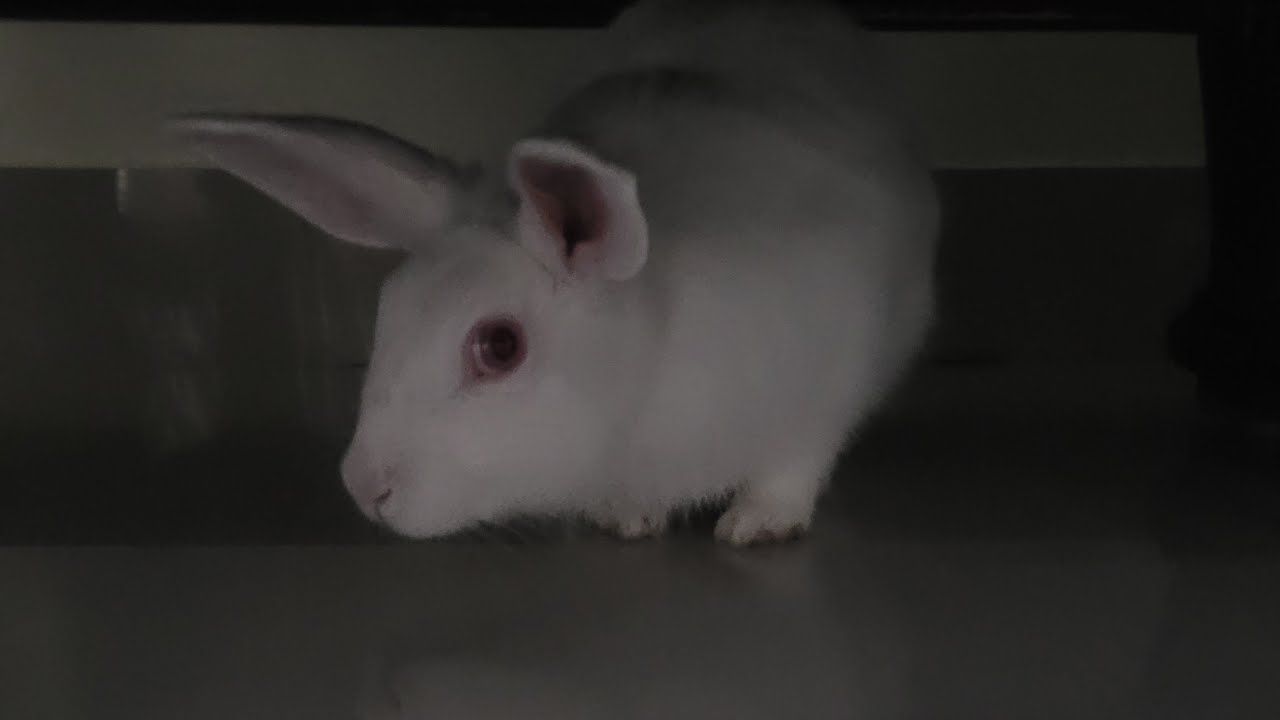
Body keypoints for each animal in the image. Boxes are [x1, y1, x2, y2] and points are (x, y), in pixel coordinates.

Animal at [166, 0, 939, 546]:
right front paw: (626, 519)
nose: (366, 488)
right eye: (388, 310)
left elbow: (795, 462)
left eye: (500, 346)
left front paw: (757, 524)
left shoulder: (829, 382)